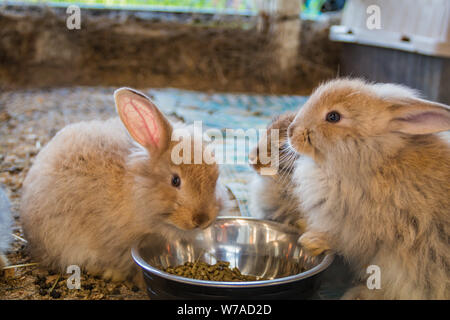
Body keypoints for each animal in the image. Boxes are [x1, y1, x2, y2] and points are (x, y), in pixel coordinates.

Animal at [288, 79, 450, 298]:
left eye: (333, 116)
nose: (290, 131)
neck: (374, 156)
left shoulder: (363, 232)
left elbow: (340, 241)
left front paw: (310, 241)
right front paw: (302, 225)